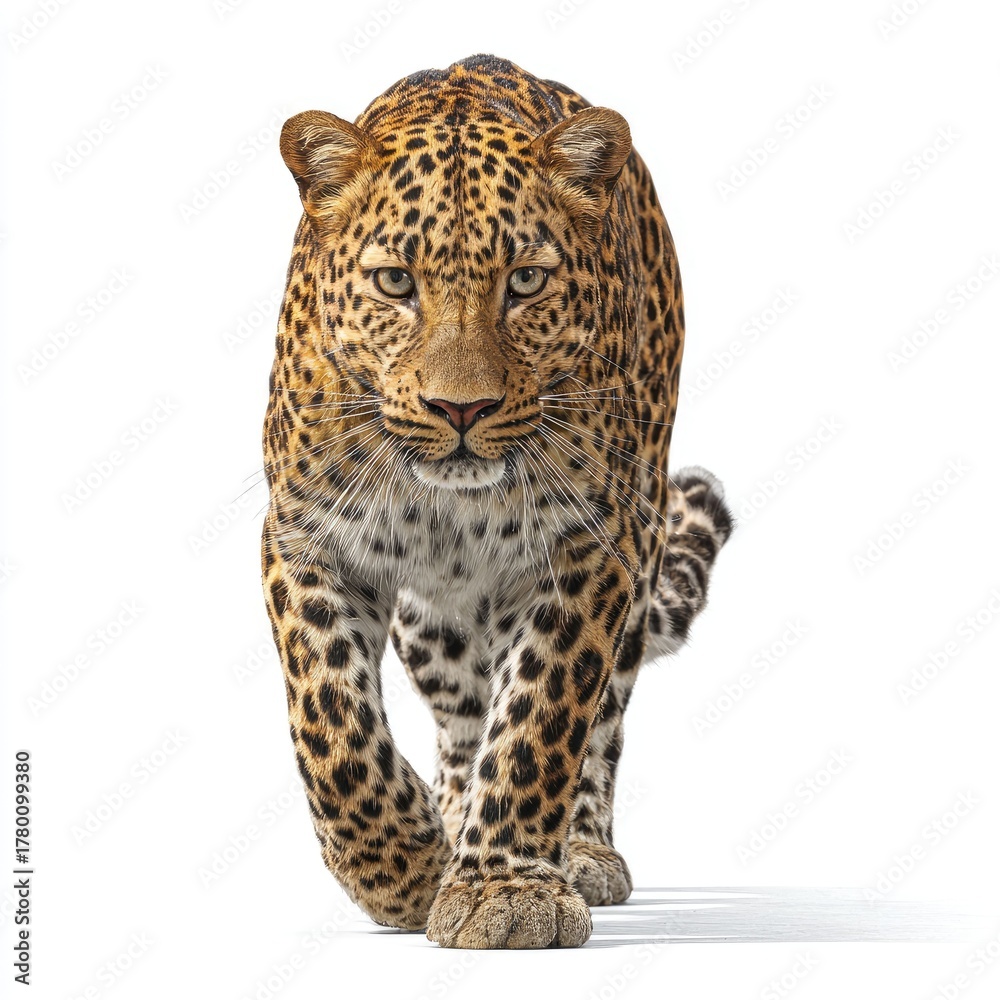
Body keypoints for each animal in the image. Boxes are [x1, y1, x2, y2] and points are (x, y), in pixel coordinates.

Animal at [261, 53, 733, 950]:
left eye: (526, 281)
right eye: (395, 282)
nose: (461, 410)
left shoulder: (590, 545)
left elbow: (542, 715)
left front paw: (506, 889)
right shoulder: (308, 537)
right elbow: (331, 722)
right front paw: (405, 868)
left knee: (601, 719)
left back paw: (581, 849)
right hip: (432, 620)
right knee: (460, 714)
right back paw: (448, 817)